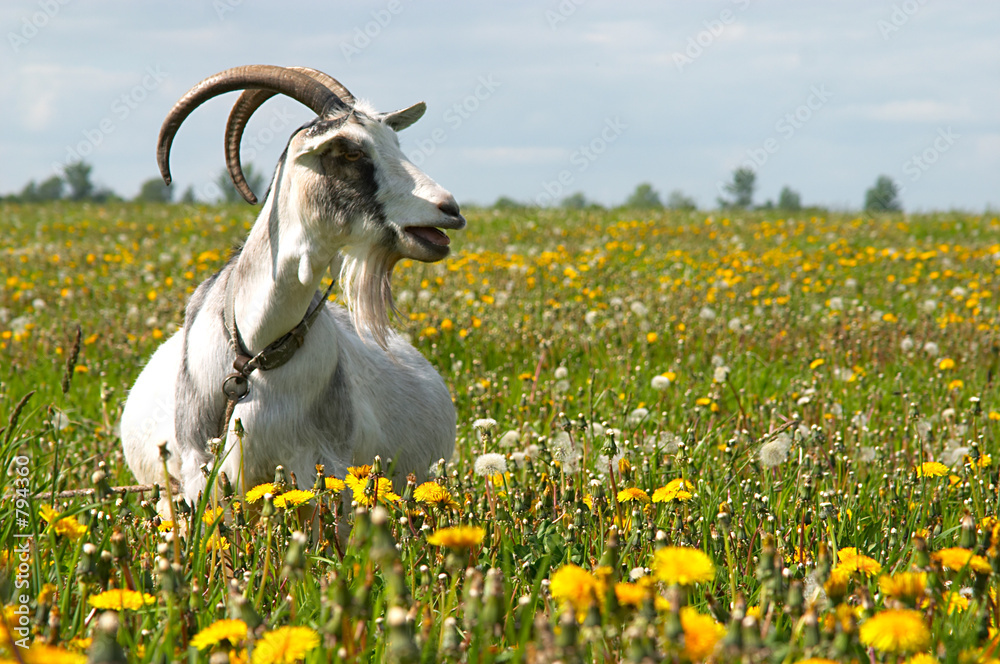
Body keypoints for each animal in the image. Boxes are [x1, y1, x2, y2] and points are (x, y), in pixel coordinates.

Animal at [120, 65, 465, 505]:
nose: (449, 209)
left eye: (395, 143)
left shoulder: (321, 467)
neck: (256, 349)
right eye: (350, 151)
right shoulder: (200, 468)